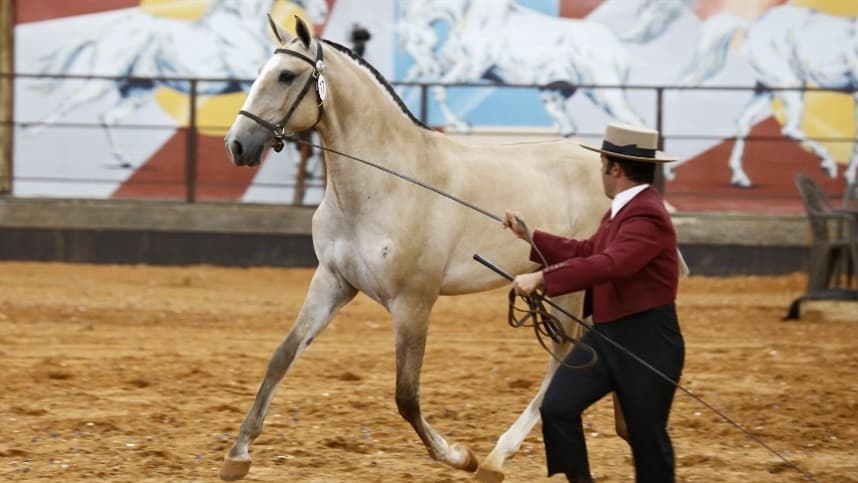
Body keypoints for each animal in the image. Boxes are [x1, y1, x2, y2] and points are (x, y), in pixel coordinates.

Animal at [26, 0, 328, 168]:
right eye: (284, 76)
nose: (323, 12)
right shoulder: (246, 77)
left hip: (139, 91)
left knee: (108, 116)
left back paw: (124, 160)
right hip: (103, 79)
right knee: (70, 103)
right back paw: (31, 130)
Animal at [221, 16, 613, 482]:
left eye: (285, 75)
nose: (237, 144)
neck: (386, 184)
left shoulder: (414, 302)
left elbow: (406, 395)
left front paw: (460, 455)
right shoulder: (333, 283)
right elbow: (282, 356)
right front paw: (238, 454)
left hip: (569, 288)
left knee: (563, 356)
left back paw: (495, 459)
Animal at [396, 0, 645, 136]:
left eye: (415, 40)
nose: (430, 64)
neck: (466, 12)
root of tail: (616, 39)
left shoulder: (473, 67)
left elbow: (439, 88)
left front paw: (461, 125)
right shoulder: (453, 62)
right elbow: (412, 78)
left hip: (607, 95)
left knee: (637, 124)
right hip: (554, 95)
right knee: (567, 127)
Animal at [677, 5, 858, 186]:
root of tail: (751, 26)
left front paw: (849, 177)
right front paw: (849, 177)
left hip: (765, 87)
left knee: (744, 121)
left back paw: (740, 177)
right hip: (790, 83)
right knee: (789, 129)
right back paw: (828, 165)